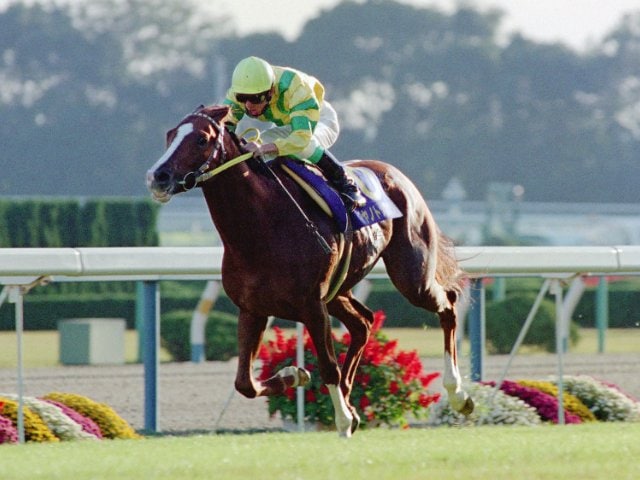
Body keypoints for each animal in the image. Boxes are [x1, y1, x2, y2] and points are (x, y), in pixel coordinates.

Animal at [146, 104, 473, 436]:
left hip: (411, 276)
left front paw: (342, 422)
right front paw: (295, 375)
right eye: (170, 135)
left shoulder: (312, 306)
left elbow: (328, 366)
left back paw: (458, 395)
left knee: (447, 304)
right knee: (363, 323)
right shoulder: (252, 309)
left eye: (201, 139)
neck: (262, 228)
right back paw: (352, 401)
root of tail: (396, 174)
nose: (157, 176)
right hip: (339, 290)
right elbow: (244, 383)